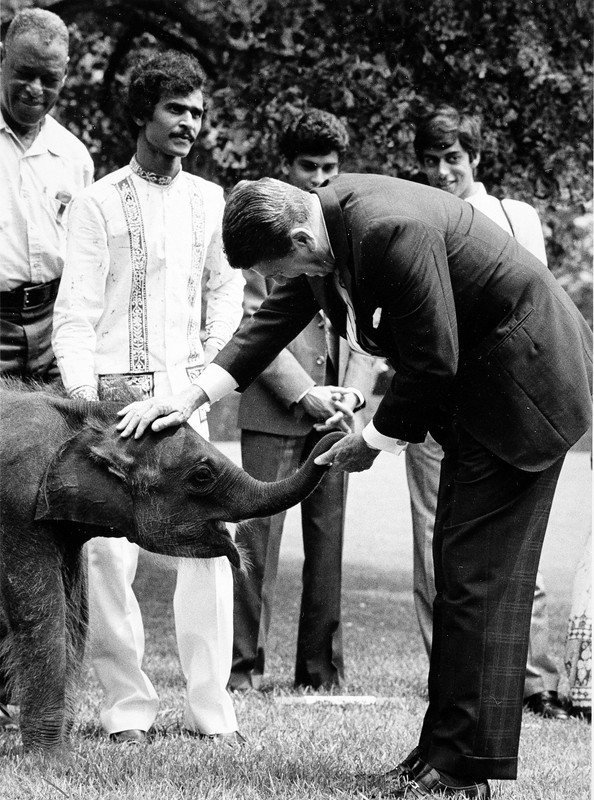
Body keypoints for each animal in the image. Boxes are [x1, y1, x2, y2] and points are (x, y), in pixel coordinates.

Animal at [0, 382, 338, 756]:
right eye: (202, 476)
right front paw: (53, 760)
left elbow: (74, 617)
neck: (82, 417)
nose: (333, 433)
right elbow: (43, 614)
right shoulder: (18, 507)